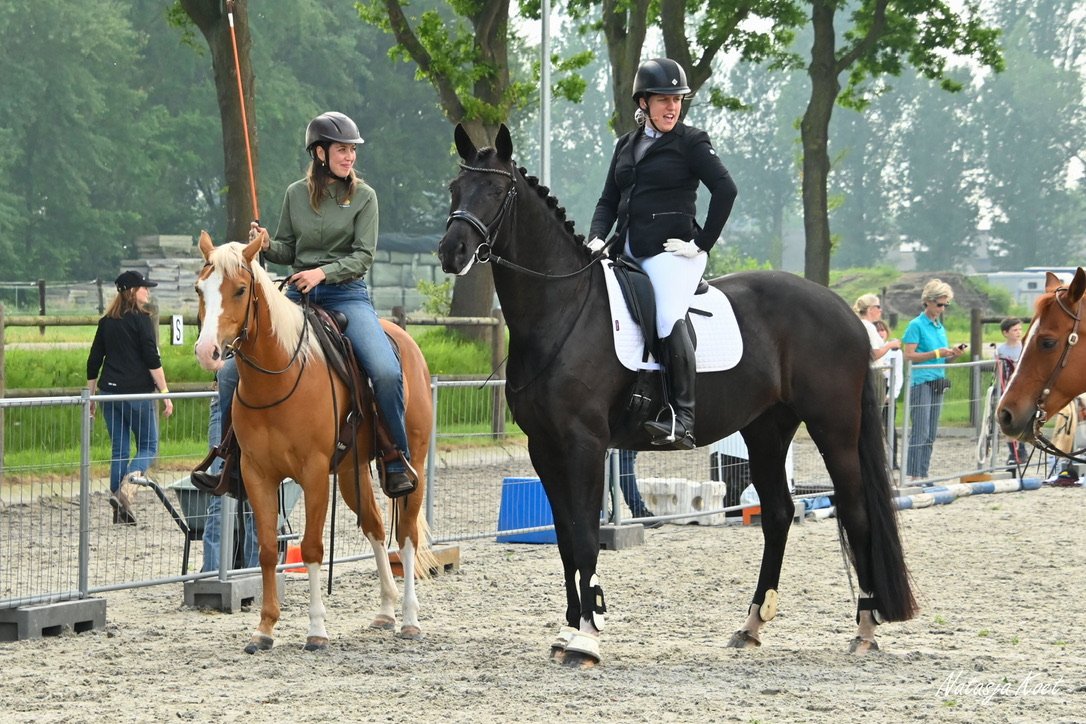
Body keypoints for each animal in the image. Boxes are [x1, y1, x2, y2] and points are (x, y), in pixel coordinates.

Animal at [193, 230, 435, 652]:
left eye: (240, 289)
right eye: (199, 289)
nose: (208, 352)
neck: (280, 376)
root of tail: (405, 341)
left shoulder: (315, 474)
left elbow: (310, 548)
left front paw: (317, 630)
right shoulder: (257, 474)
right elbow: (268, 550)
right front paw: (265, 628)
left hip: (413, 466)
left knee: (406, 536)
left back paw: (408, 619)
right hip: (353, 471)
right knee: (374, 527)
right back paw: (386, 611)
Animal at [438, 124, 917, 667]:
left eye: (497, 192)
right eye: (455, 189)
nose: (451, 252)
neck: (564, 309)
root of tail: (844, 311)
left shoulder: (585, 444)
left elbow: (584, 536)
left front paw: (587, 636)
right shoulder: (545, 447)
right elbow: (564, 540)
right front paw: (568, 630)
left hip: (833, 426)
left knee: (855, 512)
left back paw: (866, 628)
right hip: (767, 428)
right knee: (778, 514)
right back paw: (751, 625)